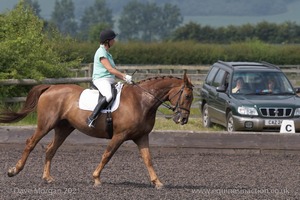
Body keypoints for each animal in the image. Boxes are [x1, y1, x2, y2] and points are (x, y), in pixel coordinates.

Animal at [0, 72, 193, 188]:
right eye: (188, 95)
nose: (183, 119)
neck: (142, 101)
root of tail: (51, 87)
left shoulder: (142, 136)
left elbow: (148, 159)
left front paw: (157, 182)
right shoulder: (119, 135)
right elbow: (107, 155)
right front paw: (96, 178)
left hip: (64, 128)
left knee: (50, 149)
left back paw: (47, 177)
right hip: (45, 124)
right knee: (31, 143)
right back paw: (14, 171)